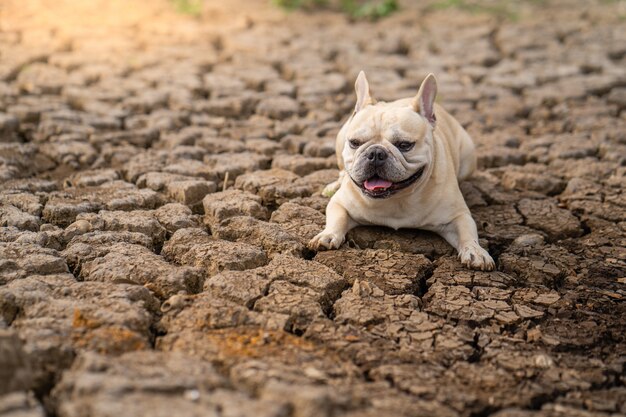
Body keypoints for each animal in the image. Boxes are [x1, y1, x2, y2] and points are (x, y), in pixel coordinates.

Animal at [308, 70, 492, 272]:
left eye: (404, 145)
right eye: (355, 142)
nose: (376, 153)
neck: (396, 199)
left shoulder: (458, 215)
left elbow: (468, 232)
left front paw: (476, 252)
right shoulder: (339, 203)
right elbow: (337, 218)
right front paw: (328, 235)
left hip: (468, 156)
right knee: (341, 171)